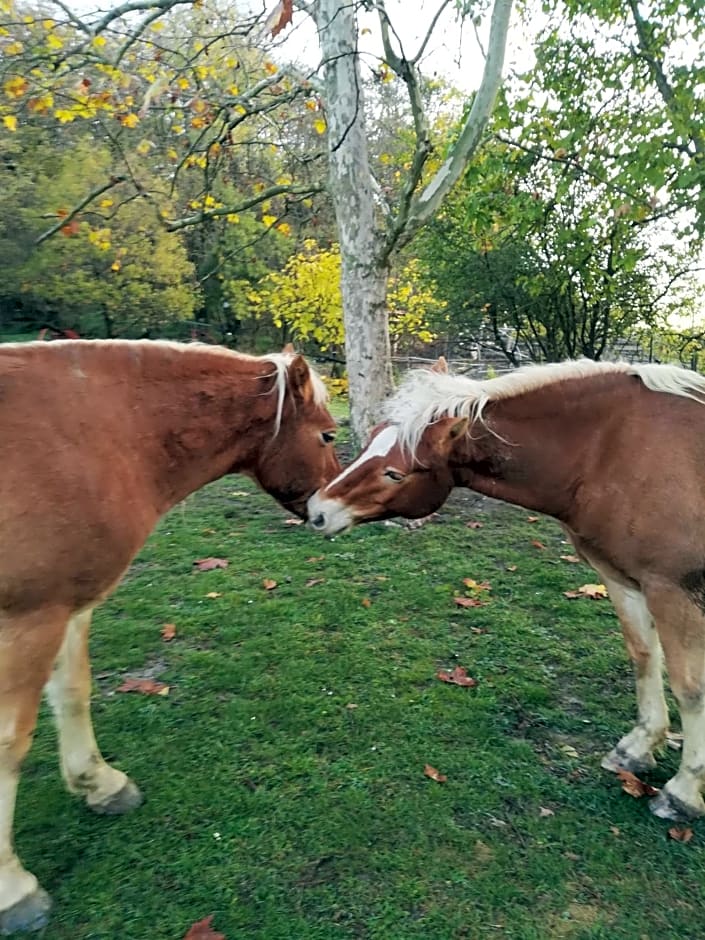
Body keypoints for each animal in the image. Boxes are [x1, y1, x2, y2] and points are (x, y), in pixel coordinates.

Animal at [0, 338, 340, 932]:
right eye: (326, 435)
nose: (331, 514)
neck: (91, 433)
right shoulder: (30, 618)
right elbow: (8, 745)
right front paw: (13, 889)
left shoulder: (66, 606)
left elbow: (73, 692)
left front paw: (99, 783)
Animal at [308, 358, 705, 824]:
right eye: (370, 442)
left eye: (394, 473)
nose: (318, 511)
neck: (612, 450)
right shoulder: (623, 580)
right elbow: (644, 659)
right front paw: (638, 748)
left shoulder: (674, 592)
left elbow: (690, 689)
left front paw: (683, 791)